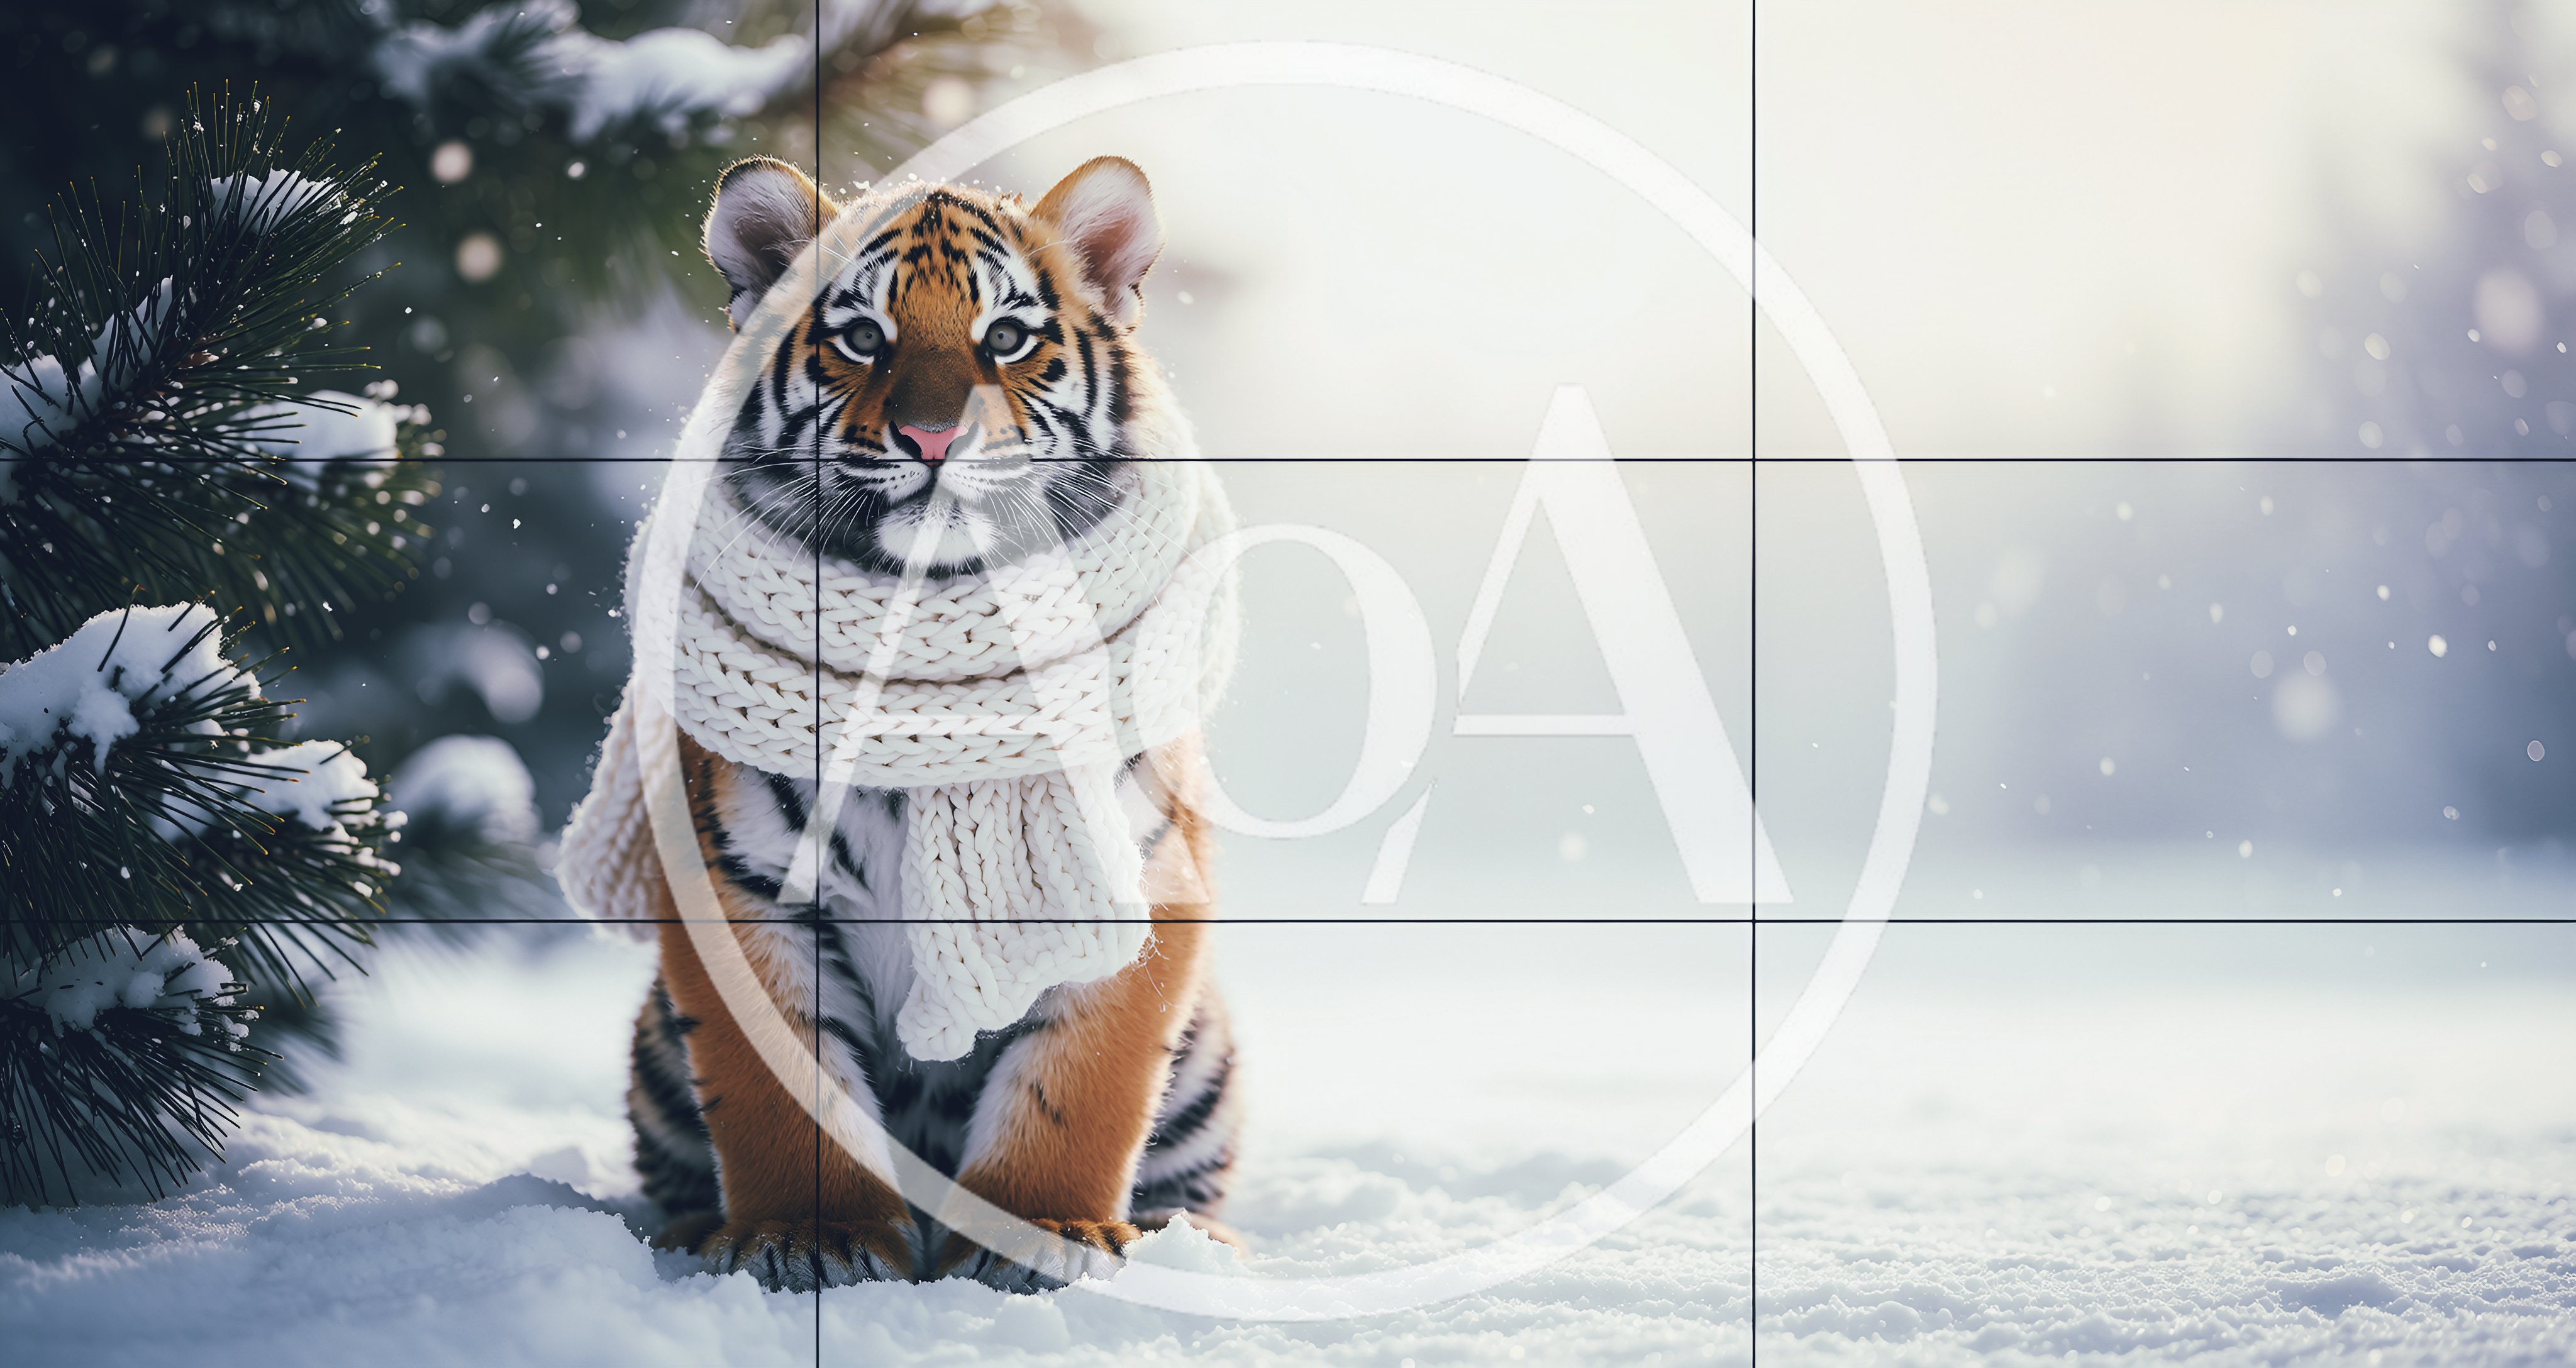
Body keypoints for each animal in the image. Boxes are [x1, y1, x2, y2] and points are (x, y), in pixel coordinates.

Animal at [622, 155, 1243, 1293]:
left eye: (1008, 337)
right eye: (863, 336)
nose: (934, 438)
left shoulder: (1139, 875)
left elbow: (1078, 1089)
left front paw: (1046, 1233)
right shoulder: (742, 887)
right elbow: (783, 1092)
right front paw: (806, 1236)